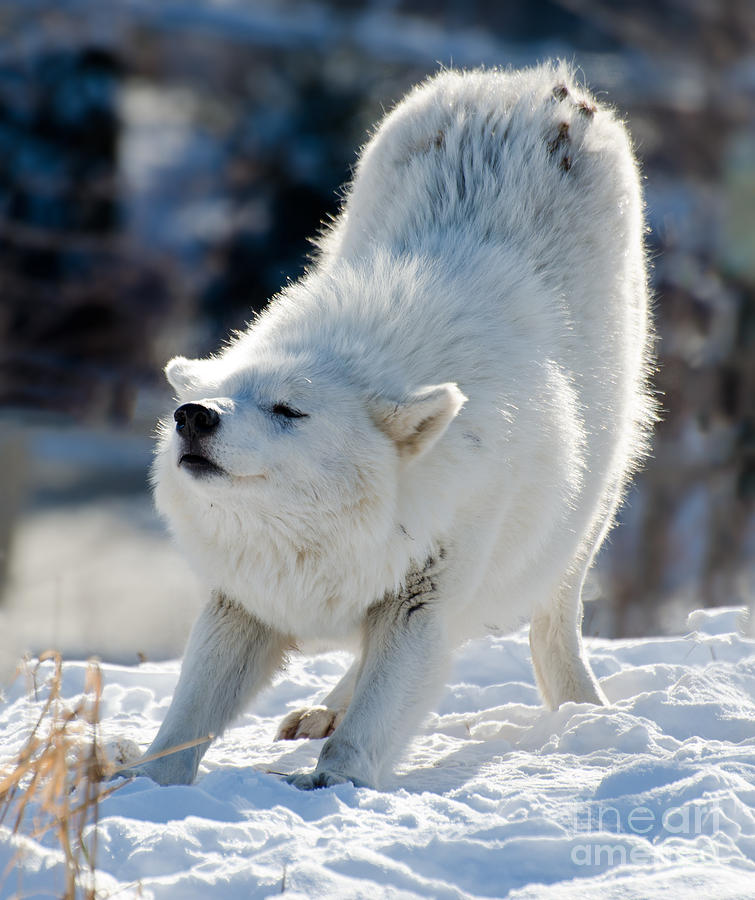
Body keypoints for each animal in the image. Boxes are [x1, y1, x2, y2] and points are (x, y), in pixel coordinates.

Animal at [124, 61, 656, 788]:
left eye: (288, 409)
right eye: (223, 395)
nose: (192, 416)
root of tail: (529, 81)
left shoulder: (423, 600)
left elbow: (375, 716)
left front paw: (331, 785)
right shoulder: (245, 601)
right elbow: (185, 722)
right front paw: (145, 788)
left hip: (585, 513)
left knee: (553, 615)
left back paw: (583, 710)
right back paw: (322, 710)